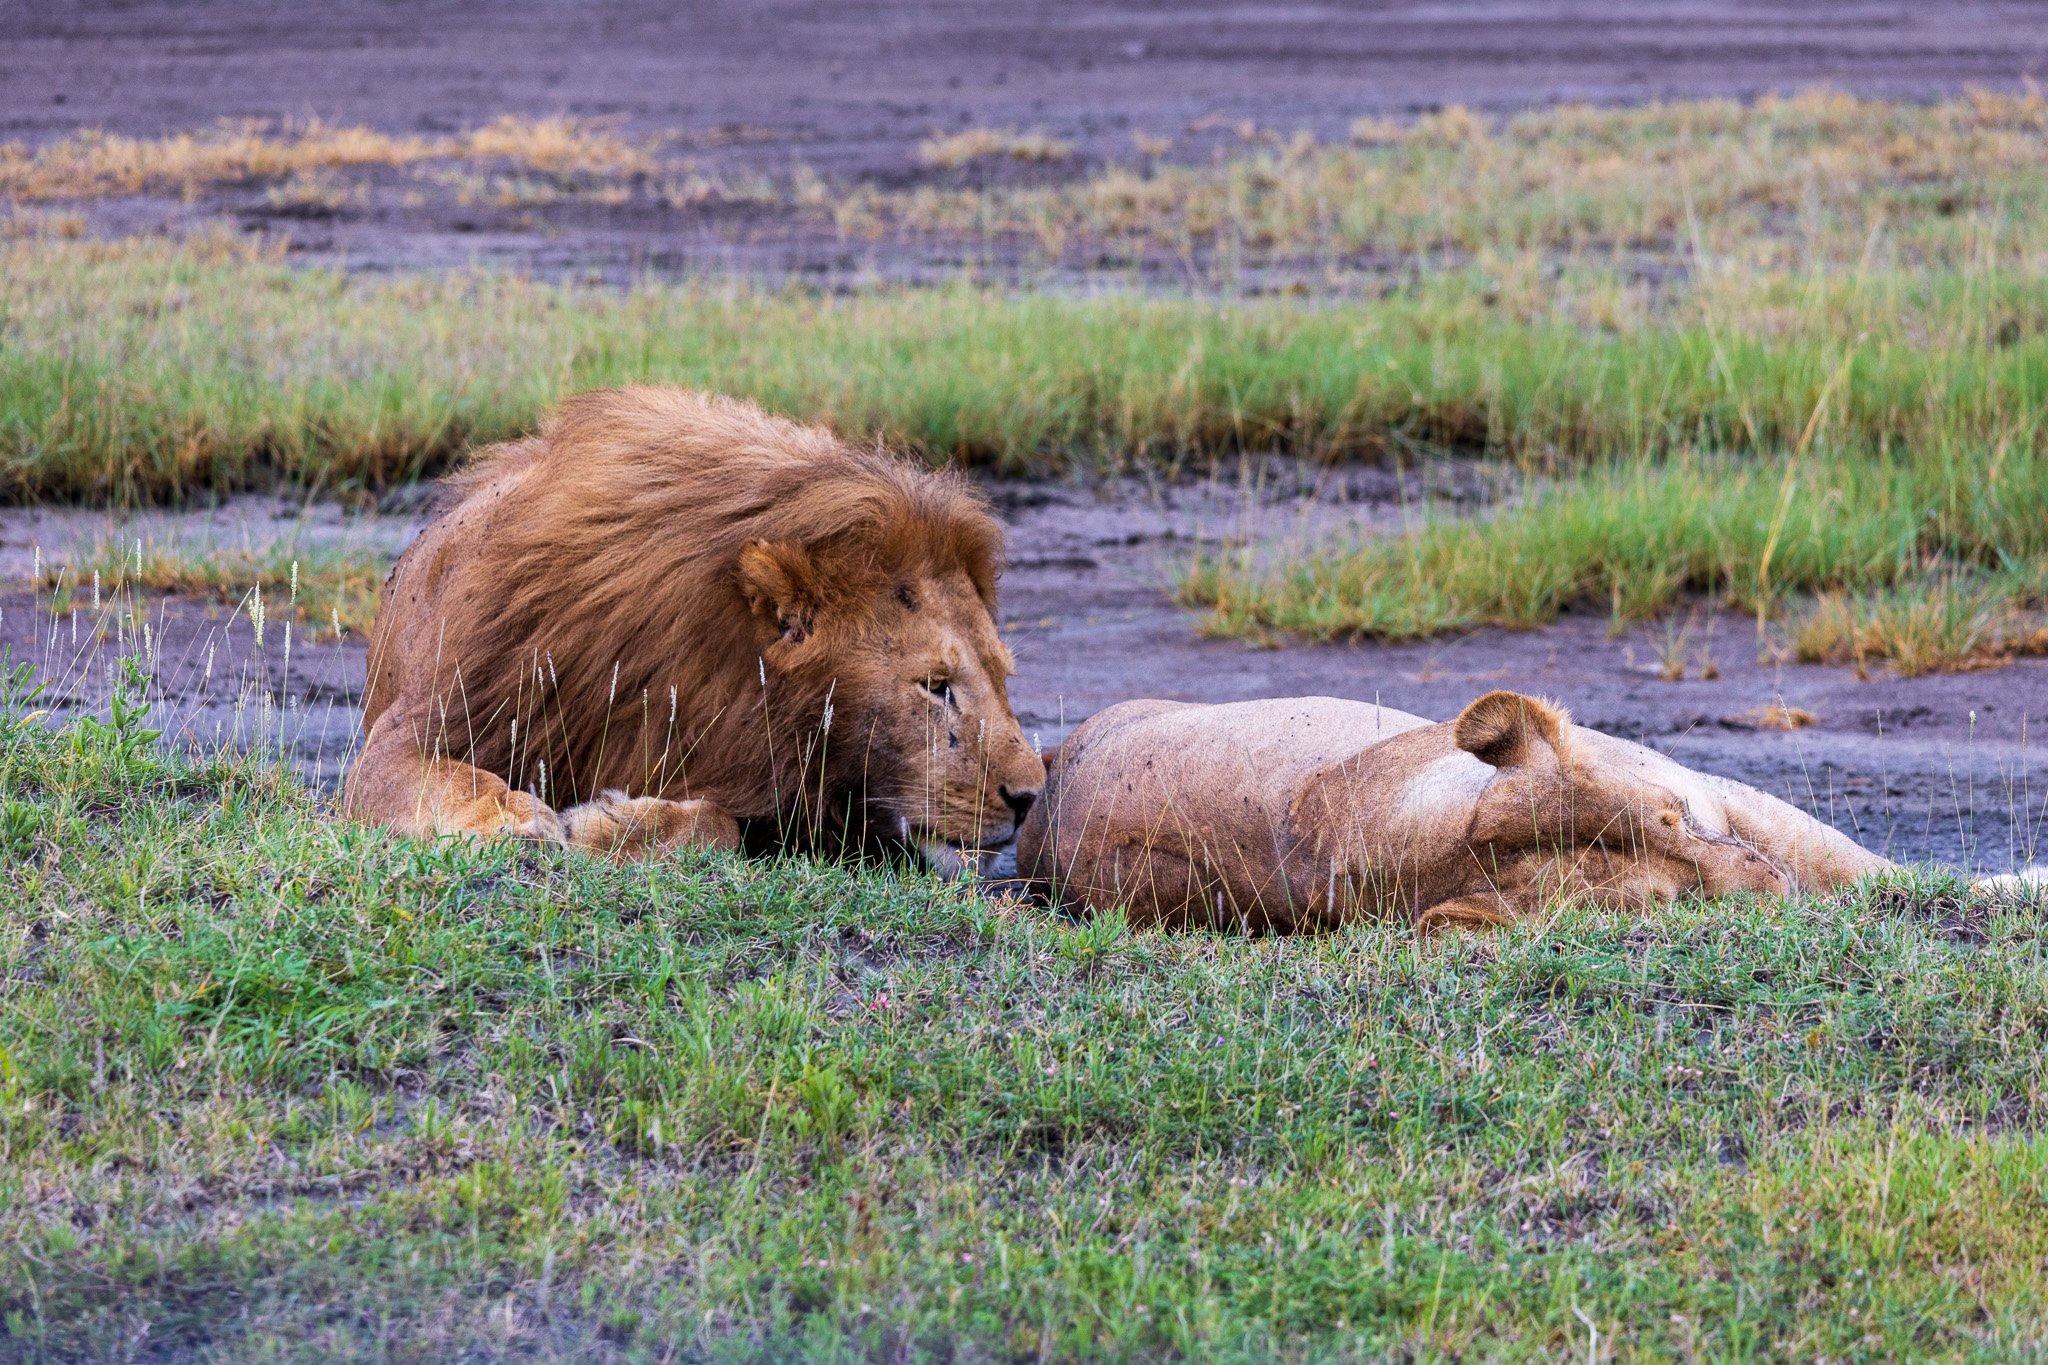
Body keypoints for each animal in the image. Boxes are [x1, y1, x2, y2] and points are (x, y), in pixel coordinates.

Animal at [346, 388, 1048, 871]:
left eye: (1002, 675)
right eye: (935, 684)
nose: (1030, 798)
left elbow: (720, 827)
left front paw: (608, 825)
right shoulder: (413, 733)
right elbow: (455, 778)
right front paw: (516, 824)